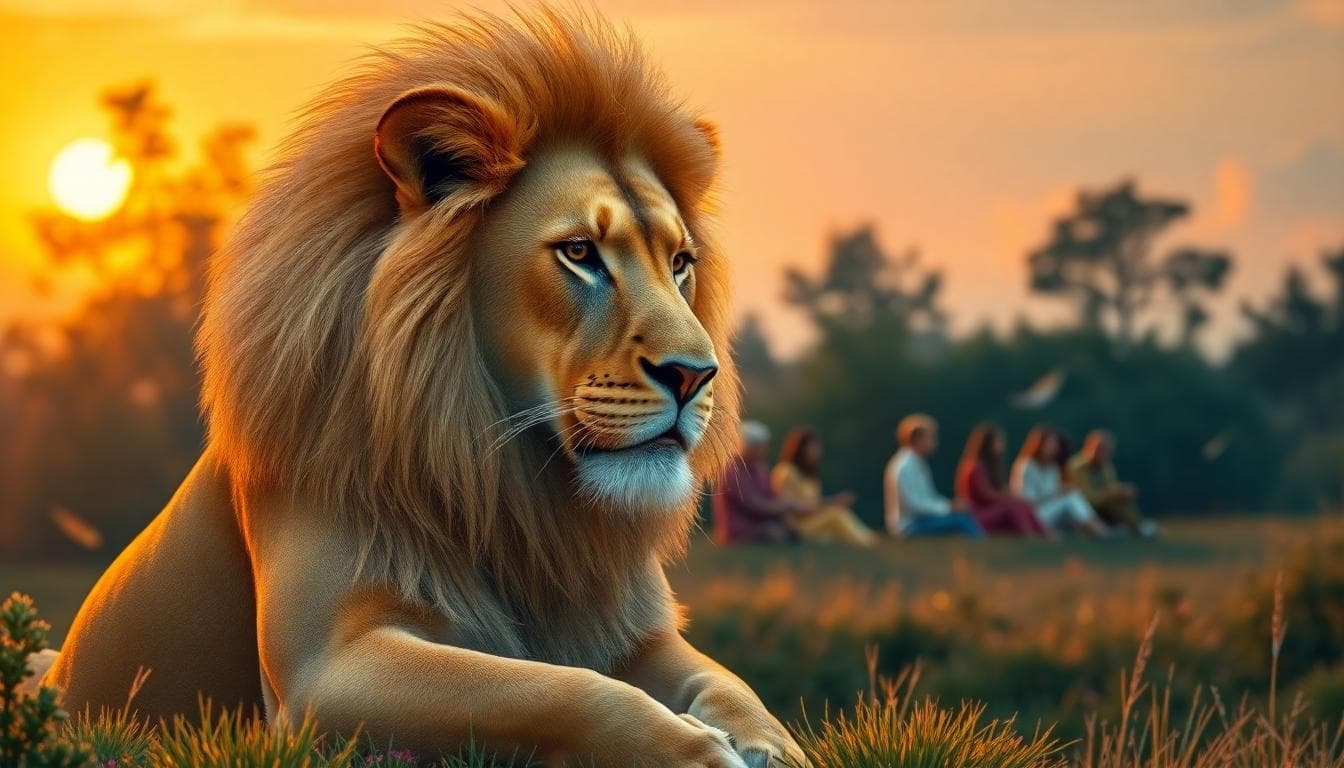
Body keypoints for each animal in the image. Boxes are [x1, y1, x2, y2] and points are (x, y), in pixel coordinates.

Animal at [39, 8, 804, 767]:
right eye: (580, 253)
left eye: (680, 263)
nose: (695, 374)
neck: (520, 494)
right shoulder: (327, 669)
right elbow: (556, 689)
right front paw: (697, 751)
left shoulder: (639, 633)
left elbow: (731, 685)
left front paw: (772, 745)